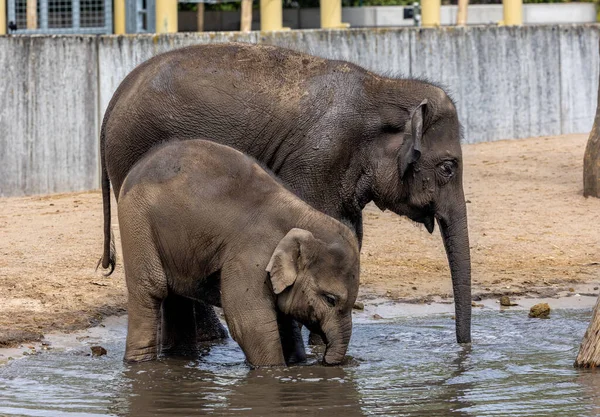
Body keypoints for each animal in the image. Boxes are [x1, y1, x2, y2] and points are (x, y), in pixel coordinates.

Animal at [119, 139, 358, 364]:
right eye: (330, 299)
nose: (325, 361)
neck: (303, 216)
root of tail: (138, 165)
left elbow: (284, 318)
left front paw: (296, 362)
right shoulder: (251, 257)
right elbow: (251, 323)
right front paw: (275, 370)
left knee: (176, 297)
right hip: (137, 221)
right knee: (152, 288)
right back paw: (140, 363)